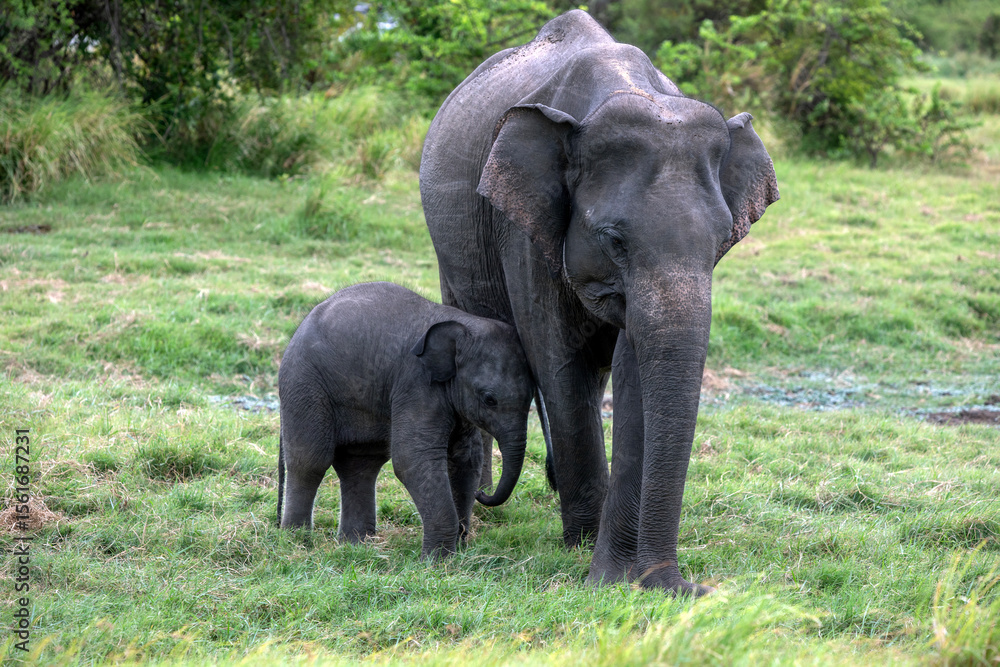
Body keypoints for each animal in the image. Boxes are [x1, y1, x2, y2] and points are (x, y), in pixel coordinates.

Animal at [277, 281, 534, 559]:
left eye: (533, 395)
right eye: (489, 399)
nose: (483, 493)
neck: (462, 321)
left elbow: (466, 459)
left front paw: (459, 548)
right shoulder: (416, 384)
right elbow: (412, 458)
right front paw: (437, 562)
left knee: (361, 463)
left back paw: (355, 546)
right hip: (305, 386)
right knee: (311, 461)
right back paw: (297, 543)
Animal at [419, 10, 779, 592]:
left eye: (722, 242)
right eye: (614, 240)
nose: (684, 586)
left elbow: (634, 371)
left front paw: (615, 567)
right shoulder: (524, 224)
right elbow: (561, 366)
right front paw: (586, 547)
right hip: (451, 244)